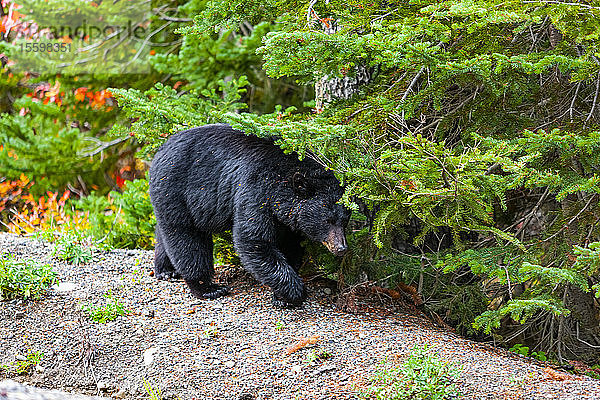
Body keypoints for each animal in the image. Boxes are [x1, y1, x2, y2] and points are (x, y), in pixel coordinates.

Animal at [147, 124, 350, 306]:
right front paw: (295, 291)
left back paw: (166, 270)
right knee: (186, 237)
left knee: (166, 232)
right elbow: (253, 239)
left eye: (344, 221)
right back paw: (207, 287)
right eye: (328, 220)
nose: (341, 248)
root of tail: (160, 151)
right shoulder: (255, 191)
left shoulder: (286, 219)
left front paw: (282, 296)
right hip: (176, 190)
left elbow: (289, 245)